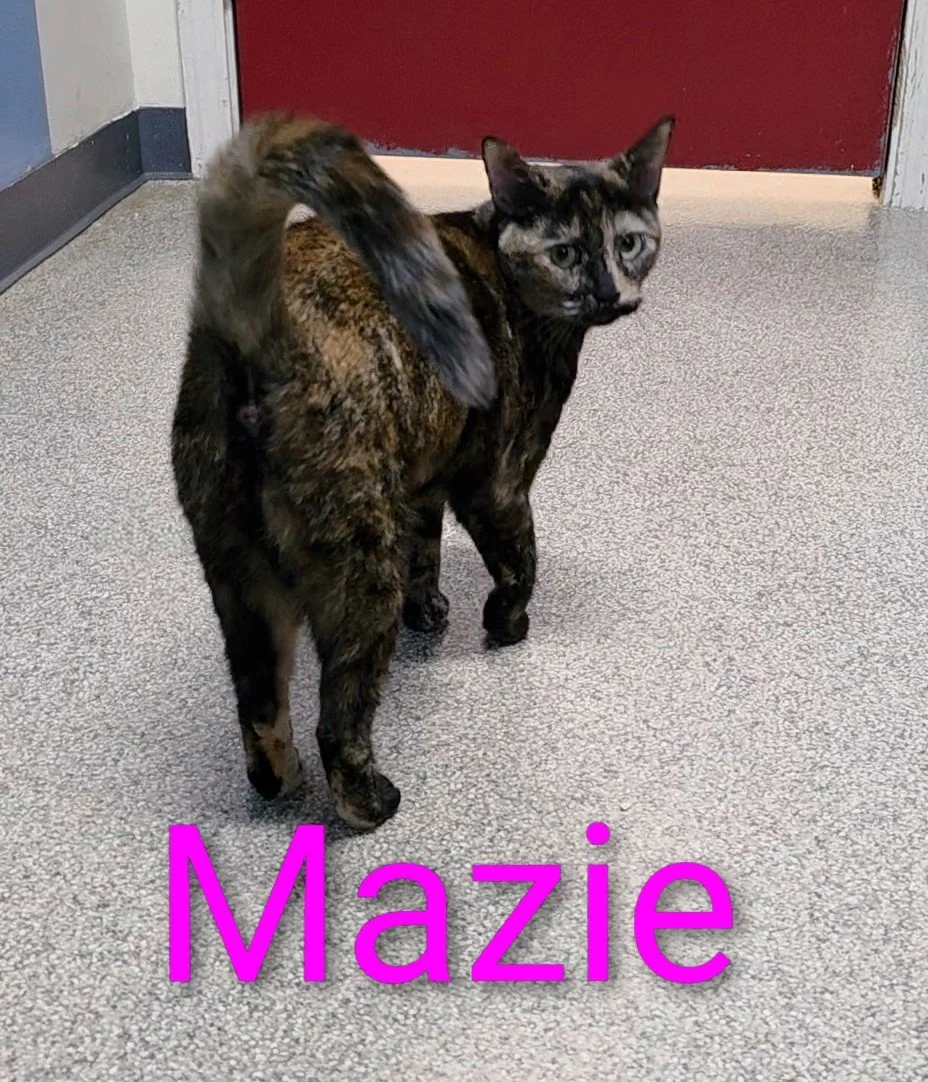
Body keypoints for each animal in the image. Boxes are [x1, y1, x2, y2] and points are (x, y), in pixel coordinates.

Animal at [171, 113, 673, 830]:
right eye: (566, 254)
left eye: (629, 243)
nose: (610, 292)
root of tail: (253, 326)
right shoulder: (498, 484)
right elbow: (521, 563)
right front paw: (505, 625)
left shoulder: (422, 482)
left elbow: (426, 551)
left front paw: (430, 610)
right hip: (357, 565)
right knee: (337, 718)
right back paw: (369, 802)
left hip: (238, 575)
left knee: (260, 706)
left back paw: (279, 781)